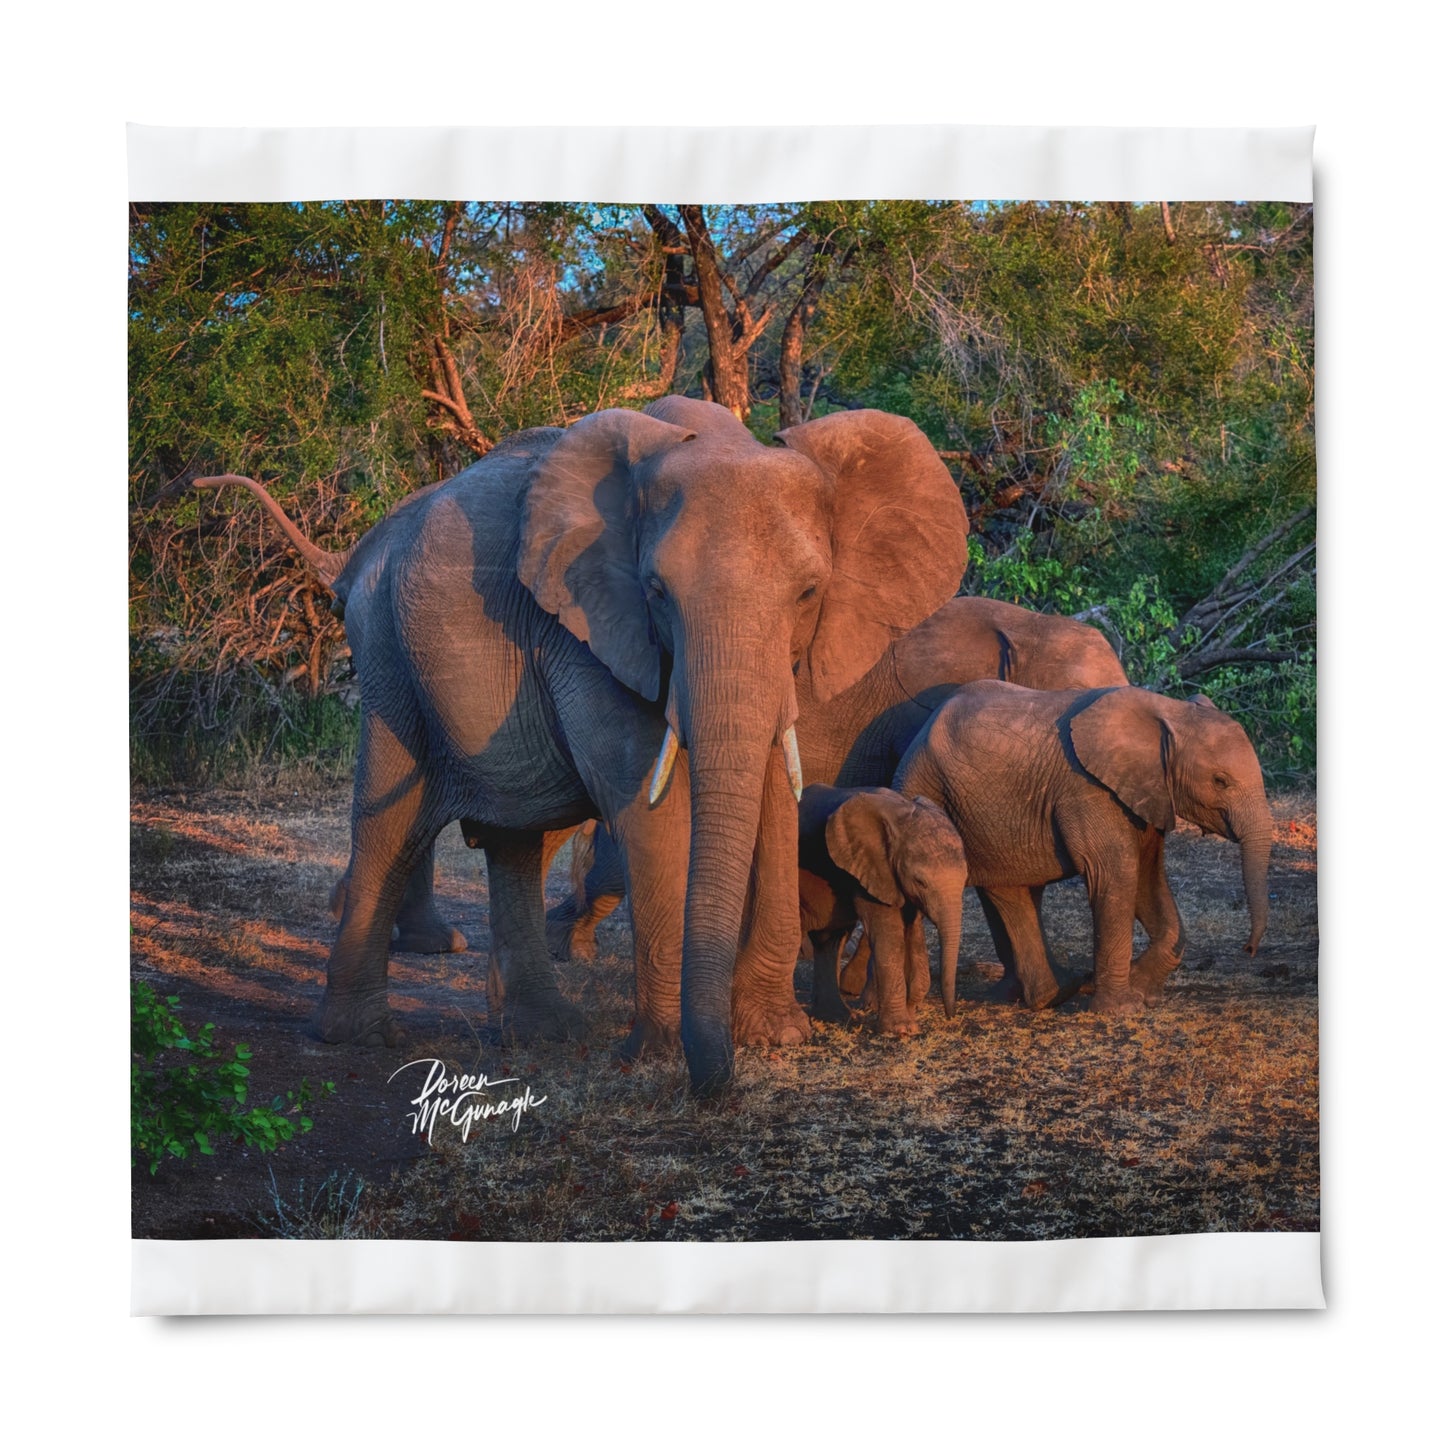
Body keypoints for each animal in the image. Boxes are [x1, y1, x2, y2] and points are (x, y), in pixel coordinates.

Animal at [797, 785, 968, 1035]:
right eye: (921, 882)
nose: (951, 1016)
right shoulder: (869, 869)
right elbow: (888, 933)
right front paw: (901, 1029)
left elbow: (913, 931)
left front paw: (911, 1015)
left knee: (829, 941)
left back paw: (839, 1016)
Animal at [892, 681, 1272, 1014]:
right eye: (1220, 781)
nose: (1249, 948)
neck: (1168, 711)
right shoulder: (1089, 790)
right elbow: (1117, 874)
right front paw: (1121, 1009)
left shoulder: (1147, 793)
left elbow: (1148, 878)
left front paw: (1142, 992)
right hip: (931, 788)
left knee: (1008, 890)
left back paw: (1052, 992)